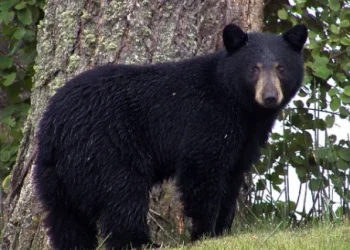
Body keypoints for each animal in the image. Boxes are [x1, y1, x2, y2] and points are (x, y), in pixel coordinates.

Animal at [32, 23, 306, 250]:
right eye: (254, 69)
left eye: (281, 68)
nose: (270, 97)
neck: (239, 106)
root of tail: (55, 126)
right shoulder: (207, 120)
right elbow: (202, 172)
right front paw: (204, 234)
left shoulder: (246, 139)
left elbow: (232, 178)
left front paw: (223, 231)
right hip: (105, 149)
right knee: (122, 196)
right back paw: (143, 243)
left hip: (54, 174)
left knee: (65, 219)